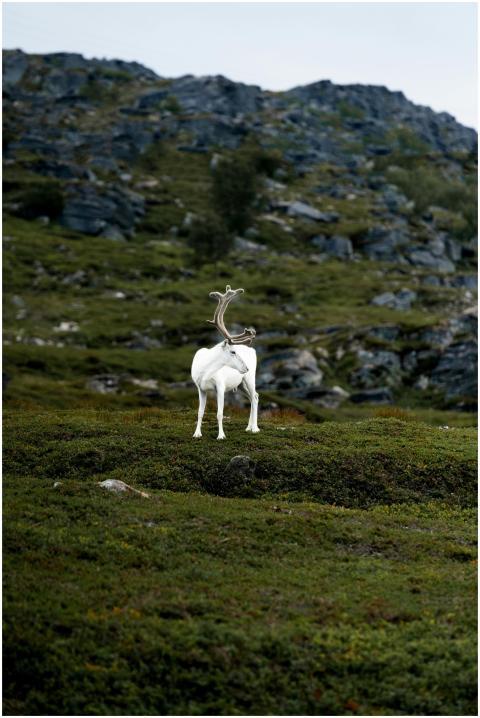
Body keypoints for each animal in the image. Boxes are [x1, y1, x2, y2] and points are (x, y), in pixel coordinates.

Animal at [191, 285, 259, 440]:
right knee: (252, 398)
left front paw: (221, 435)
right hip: (240, 384)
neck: (206, 371)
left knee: (255, 397)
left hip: (250, 379)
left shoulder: (220, 387)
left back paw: (255, 428)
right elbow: (200, 412)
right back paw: (248, 427)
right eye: (233, 352)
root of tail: (253, 350)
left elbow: (220, 413)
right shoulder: (200, 388)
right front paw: (197, 433)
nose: (246, 368)